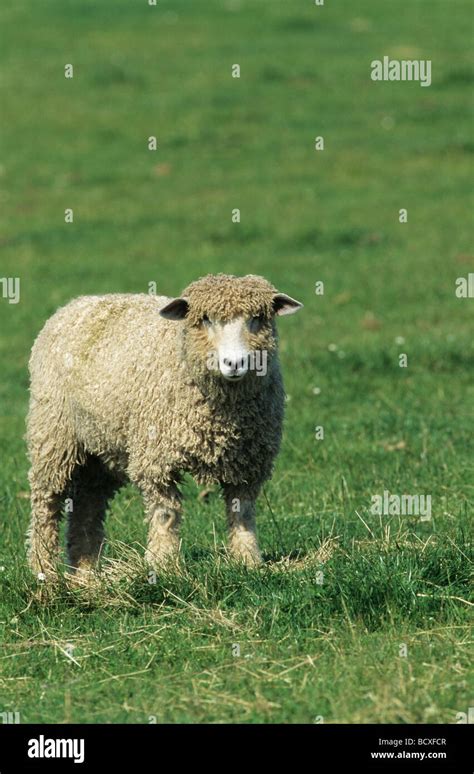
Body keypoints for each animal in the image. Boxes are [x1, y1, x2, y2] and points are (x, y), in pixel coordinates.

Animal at [25, 272, 302, 576]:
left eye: (257, 318)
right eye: (205, 319)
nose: (234, 362)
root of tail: (78, 302)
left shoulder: (249, 466)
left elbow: (243, 513)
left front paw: (248, 560)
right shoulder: (155, 460)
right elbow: (165, 513)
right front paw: (162, 564)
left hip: (99, 447)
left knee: (88, 504)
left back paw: (86, 574)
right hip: (53, 434)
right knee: (46, 503)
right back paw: (42, 569)